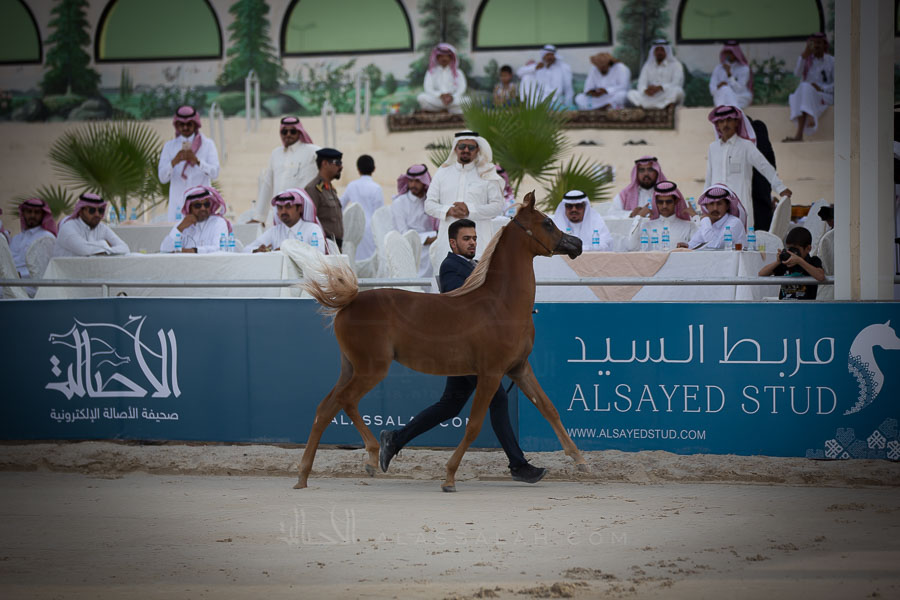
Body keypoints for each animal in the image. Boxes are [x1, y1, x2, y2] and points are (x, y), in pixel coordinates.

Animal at [295, 191, 589, 491]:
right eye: (547, 223)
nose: (577, 244)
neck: (501, 304)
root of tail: (350, 301)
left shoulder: (519, 369)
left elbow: (549, 409)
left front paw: (579, 461)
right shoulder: (491, 374)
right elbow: (474, 426)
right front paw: (449, 477)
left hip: (351, 368)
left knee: (326, 408)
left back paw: (307, 475)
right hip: (371, 369)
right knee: (345, 401)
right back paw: (370, 455)